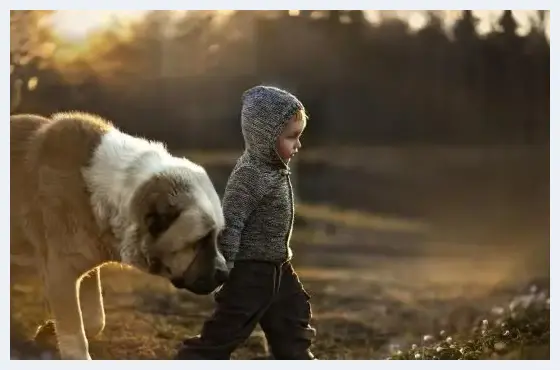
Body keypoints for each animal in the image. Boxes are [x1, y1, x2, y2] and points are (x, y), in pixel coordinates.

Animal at [9, 112, 228, 358]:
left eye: (217, 236)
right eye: (199, 241)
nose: (225, 274)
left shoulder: (83, 267)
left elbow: (96, 319)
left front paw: (48, 331)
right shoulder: (59, 273)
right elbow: (75, 334)